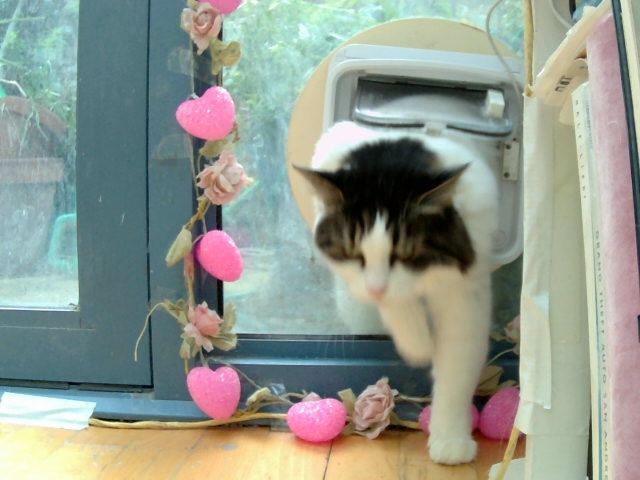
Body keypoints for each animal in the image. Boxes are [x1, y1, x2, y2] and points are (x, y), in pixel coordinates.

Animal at [295, 121, 499, 465]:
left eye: (404, 255)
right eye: (353, 253)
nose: (376, 288)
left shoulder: (463, 291)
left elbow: (456, 370)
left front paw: (451, 440)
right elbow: (397, 303)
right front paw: (420, 344)